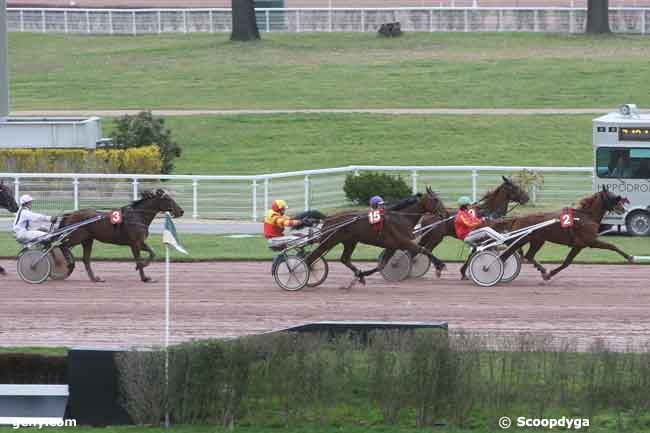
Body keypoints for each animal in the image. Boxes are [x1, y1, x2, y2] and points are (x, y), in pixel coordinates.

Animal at [304, 186, 446, 286]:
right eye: (436, 199)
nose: (444, 214)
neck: (401, 217)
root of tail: (328, 217)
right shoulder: (403, 241)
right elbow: (424, 250)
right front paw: (440, 265)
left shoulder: (392, 246)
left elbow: (381, 265)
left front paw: (362, 274)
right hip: (329, 240)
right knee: (311, 257)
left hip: (350, 241)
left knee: (344, 259)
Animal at [496, 187, 628, 282]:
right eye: (612, 197)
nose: (623, 209)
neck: (586, 217)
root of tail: (518, 218)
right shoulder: (591, 241)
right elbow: (612, 246)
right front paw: (629, 257)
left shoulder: (579, 245)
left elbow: (567, 262)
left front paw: (549, 275)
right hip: (522, 240)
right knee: (506, 255)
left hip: (537, 240)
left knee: (529, 255)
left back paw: (542, 270)